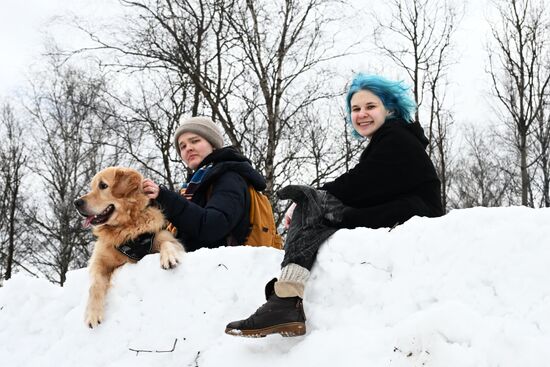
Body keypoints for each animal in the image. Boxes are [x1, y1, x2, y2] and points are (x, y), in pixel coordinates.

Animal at [73, 167, 187, 328]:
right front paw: (93, 314)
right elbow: (94, 285)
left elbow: (167, 243)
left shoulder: (166, 237)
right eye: (92, 187)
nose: (76, 202)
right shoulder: (99, 261)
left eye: (103, 185)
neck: (125, 228)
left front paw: (169, 257)